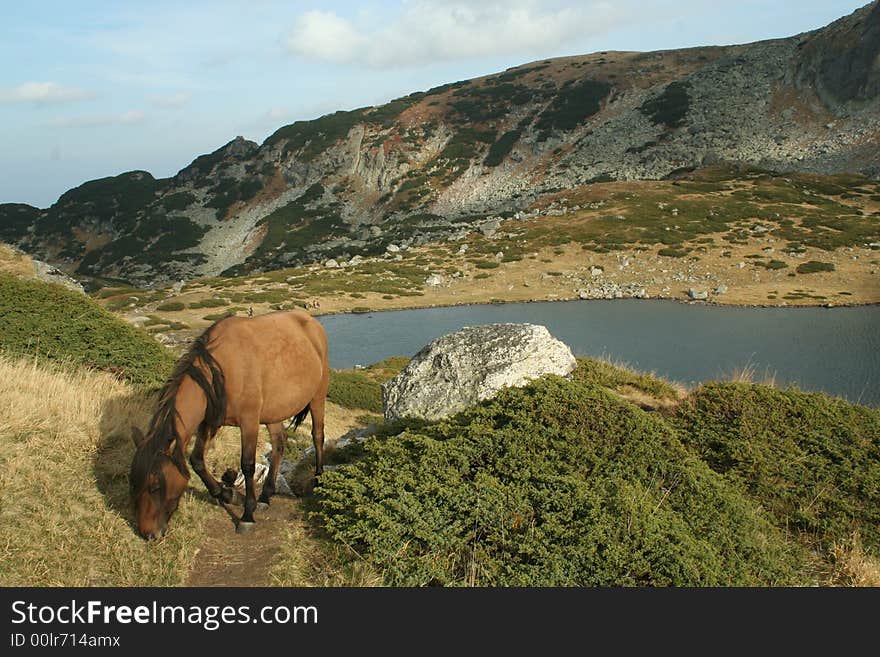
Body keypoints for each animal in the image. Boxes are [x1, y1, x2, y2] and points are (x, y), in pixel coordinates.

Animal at [126, 312, 326, 540]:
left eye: (155, 485)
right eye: (133, 482)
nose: (148, 533)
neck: (219, 368)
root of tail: (311, 321)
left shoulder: (249, 421)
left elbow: (247, 465)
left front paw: (247, 515)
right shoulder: (209, 421)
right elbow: (197, 460)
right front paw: (228, 495)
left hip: (318, 395)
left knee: (317, 436)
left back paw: (318, 480)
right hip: (273, 412)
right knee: (279, 445)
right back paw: (266, 496)